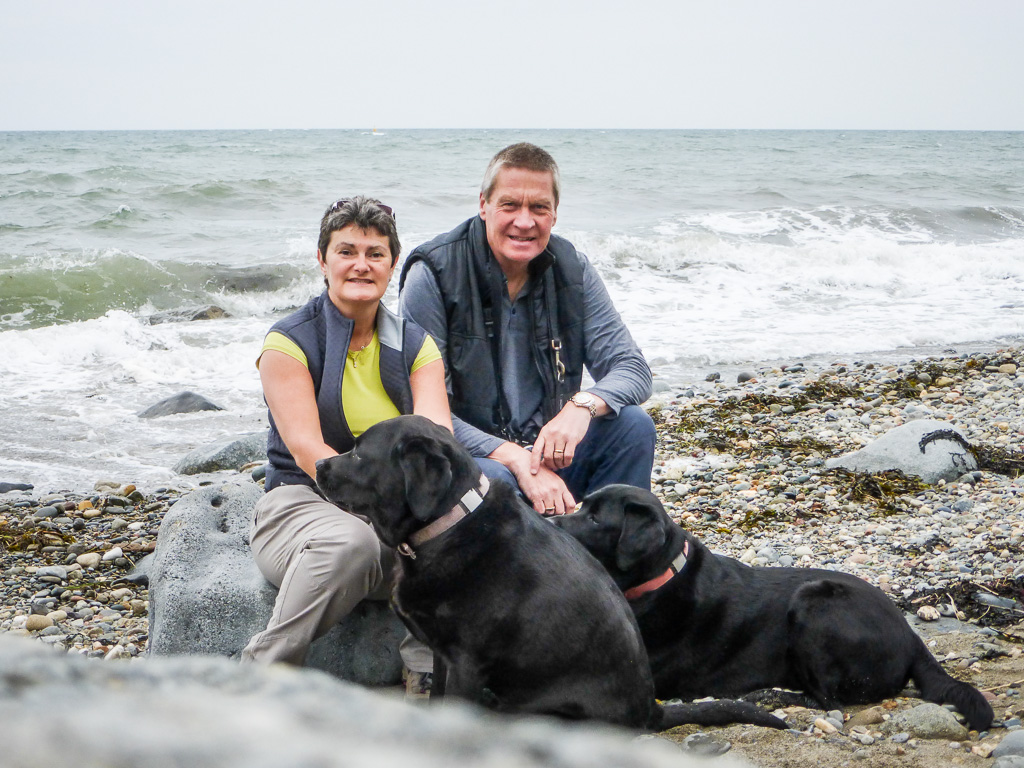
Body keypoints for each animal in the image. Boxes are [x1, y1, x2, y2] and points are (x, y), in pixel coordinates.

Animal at [313, 417, 782, 729]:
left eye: (358, 451)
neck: (448, 526)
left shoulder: (466, 662)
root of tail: (652, 709)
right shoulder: (443, 655)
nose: (317, 465)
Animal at [552, 487, 991, 733]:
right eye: (580, 505)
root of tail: (912, 635)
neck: (660, 577)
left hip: (814, 603)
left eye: (595, 518)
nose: (550, 521)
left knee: (830, 701)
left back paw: (772, 695)